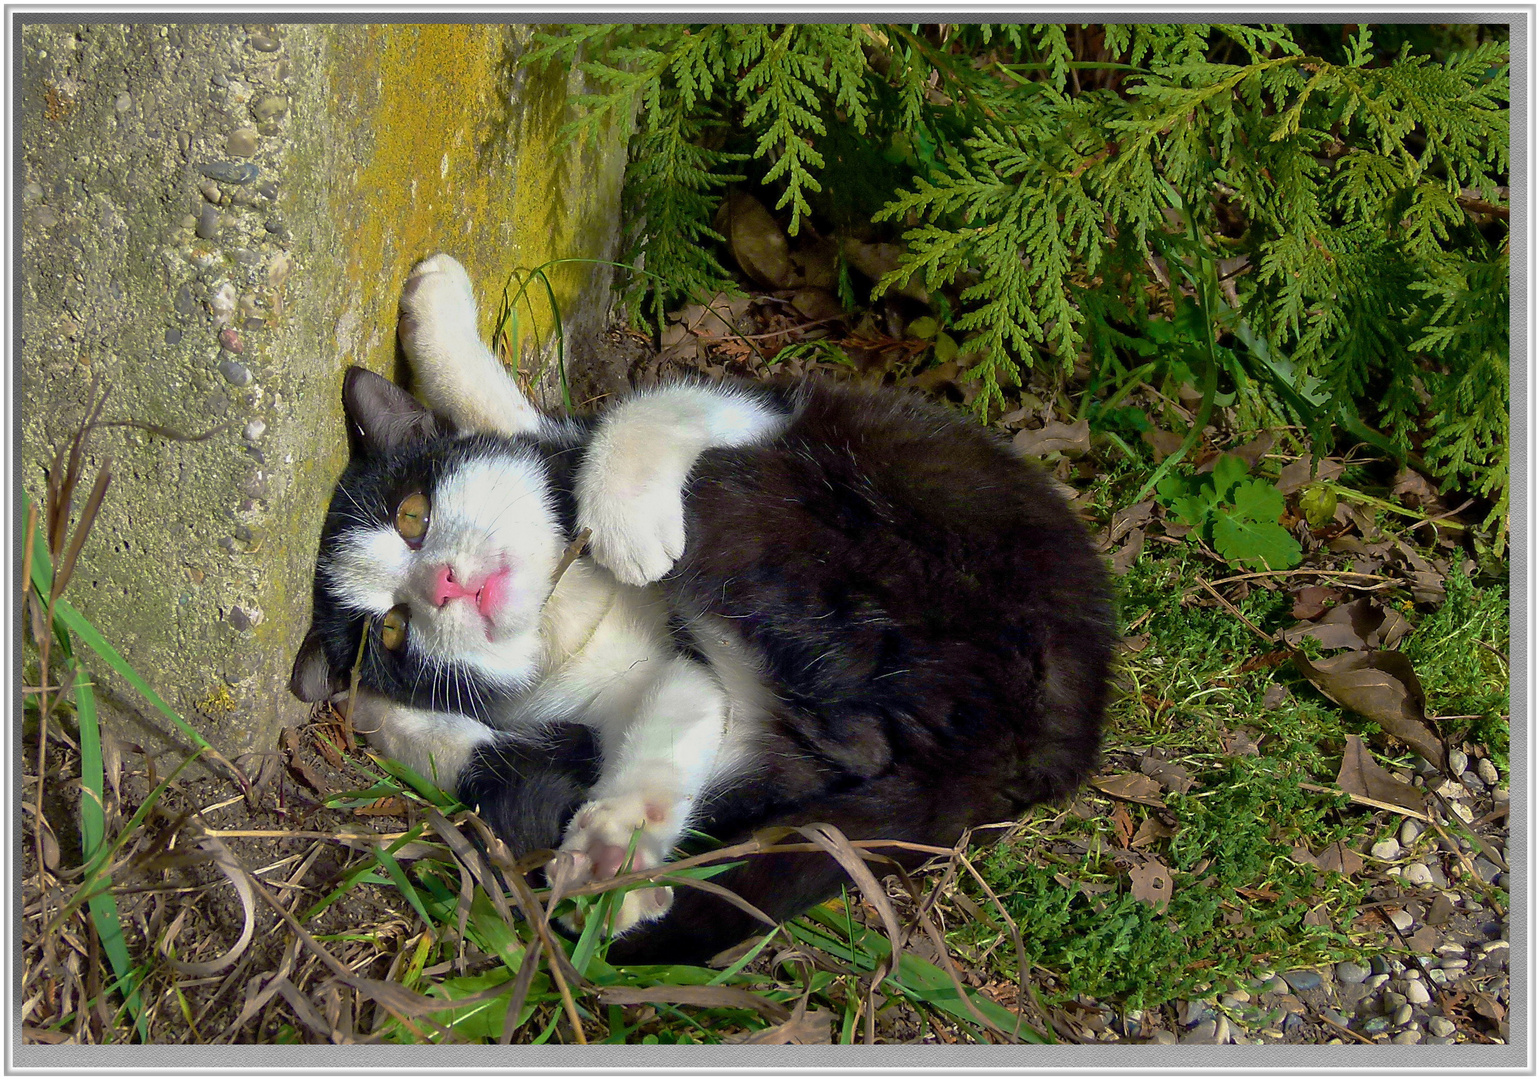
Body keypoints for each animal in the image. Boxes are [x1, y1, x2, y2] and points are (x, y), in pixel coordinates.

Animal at [289, 254, 1114, 961]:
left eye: (413, 515)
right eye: (391, 631)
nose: (445, 585)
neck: (564, 612)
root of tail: (1035, 745)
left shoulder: (737, 413)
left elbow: (616, 414)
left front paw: (436, 309)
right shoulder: (662, 694)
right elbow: (675, 709)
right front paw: (613, 846)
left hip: (805, 489)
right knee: (835, 744)